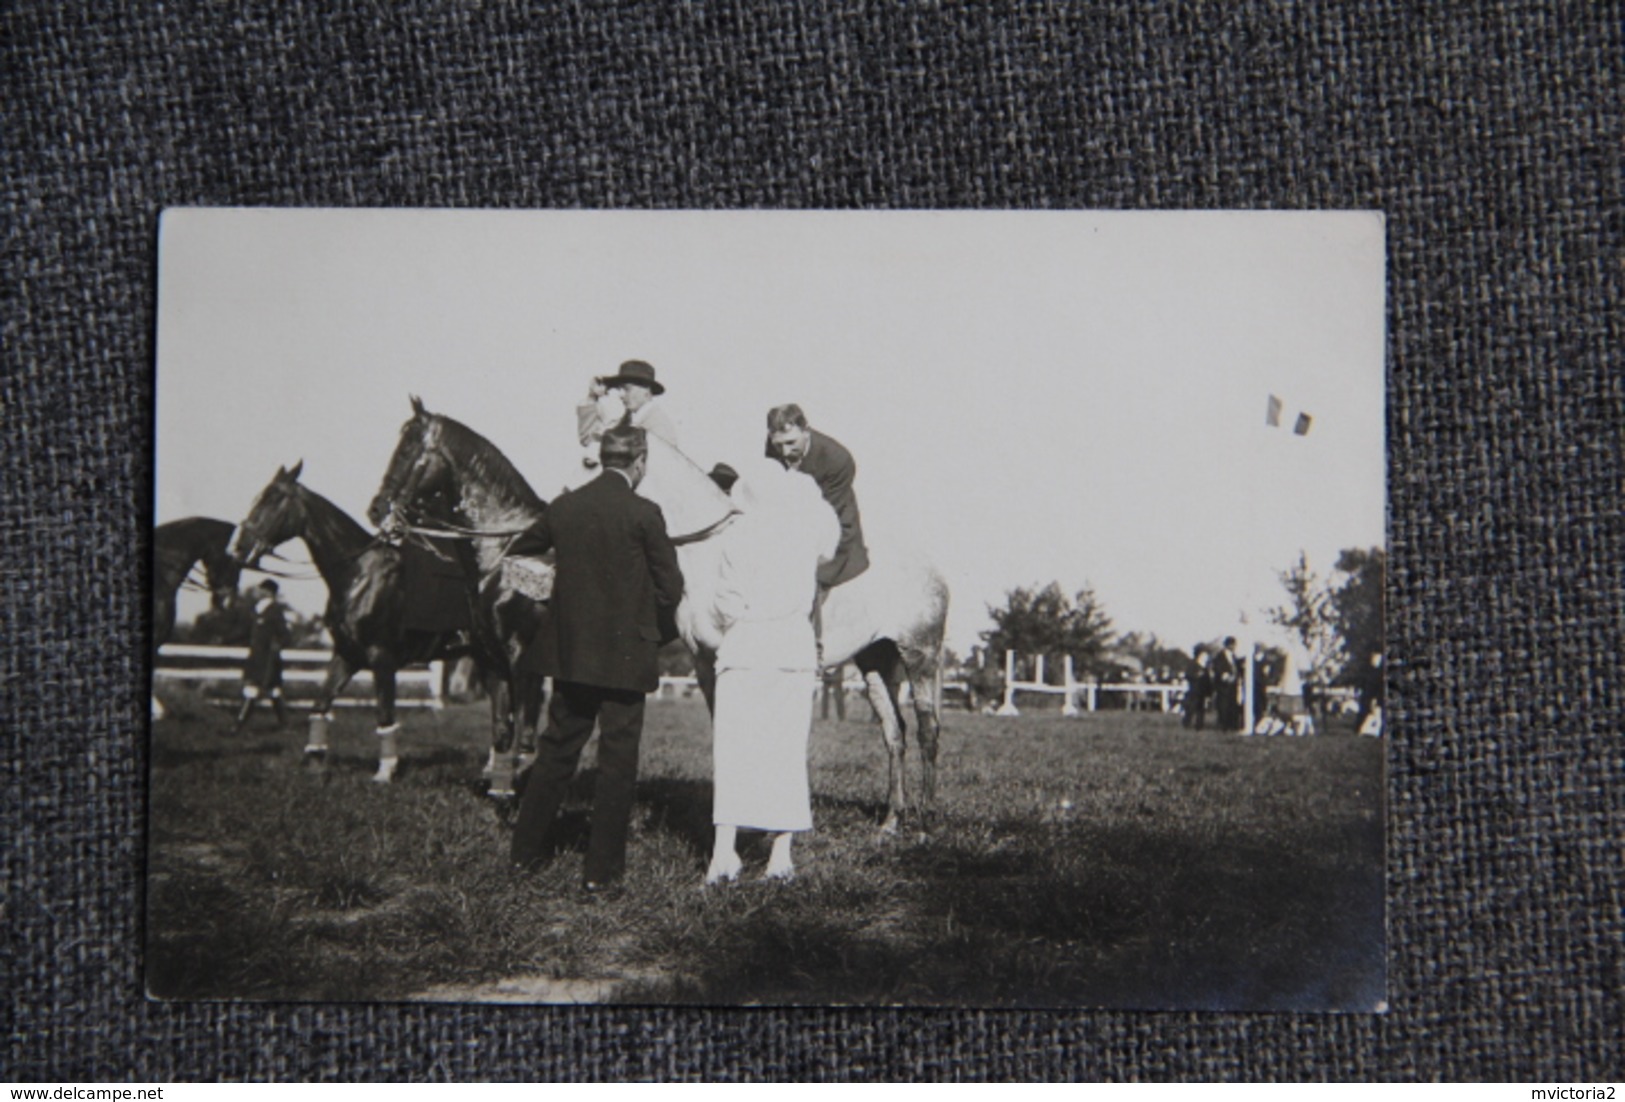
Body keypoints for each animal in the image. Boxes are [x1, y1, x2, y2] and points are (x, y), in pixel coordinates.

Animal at [225, 461, 520, 789]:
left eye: (273, 498)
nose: (238, 550)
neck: (359, 574)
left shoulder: (382, 657)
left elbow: (384, 713)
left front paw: (386, 770)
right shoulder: (346, 656)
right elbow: (320, 705)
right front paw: (315, 762)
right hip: (484, 659)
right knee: (499, 707)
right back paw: (493, 769)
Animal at [367, 401, 555, 799]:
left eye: (407, 450)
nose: (377, 509)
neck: (504, 551)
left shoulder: (523, 658)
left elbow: (526, 733)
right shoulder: (493, 659)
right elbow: (501, 730)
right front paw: (499, 791)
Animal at [637, 435, 949, 832]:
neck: (714, 555)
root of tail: (933, 570)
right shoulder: (706, 665)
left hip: (920, 654)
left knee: (928, 730)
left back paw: (926, 819)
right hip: (877, 662)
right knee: (895, 732)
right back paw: (892, 819)